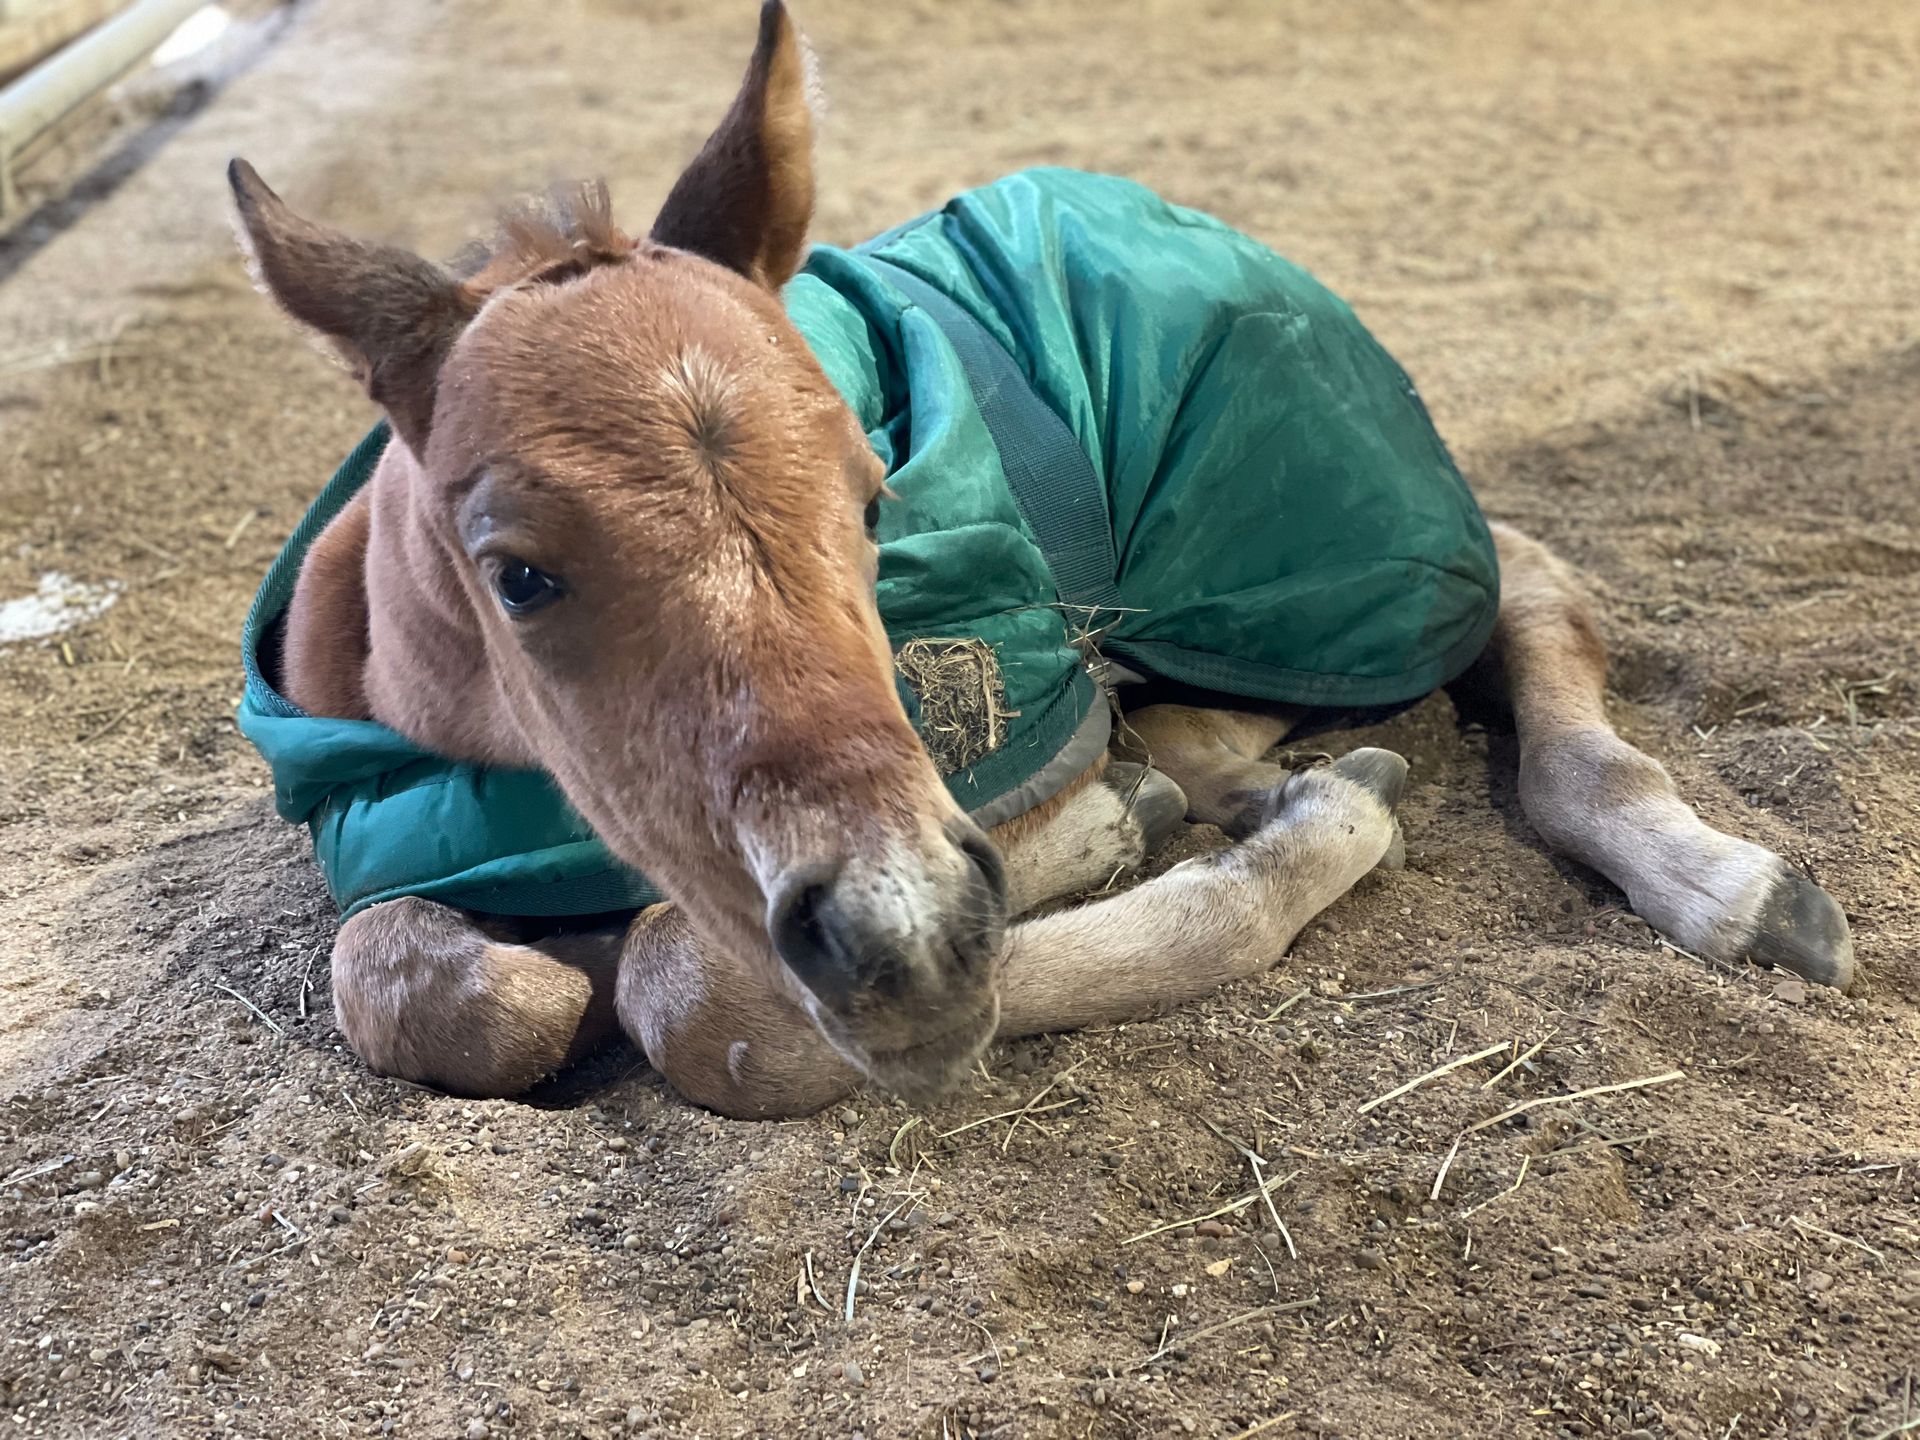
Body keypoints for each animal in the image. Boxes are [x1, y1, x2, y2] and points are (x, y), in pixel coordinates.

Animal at [227, 0, 1852, 1119]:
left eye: (876, 498)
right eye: (516, 573)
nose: (904, 942)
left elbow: (699, 1003)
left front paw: (1195, 845)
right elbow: (427, 988)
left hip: (1298, 550)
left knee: (1523, 584)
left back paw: (1722, 881)